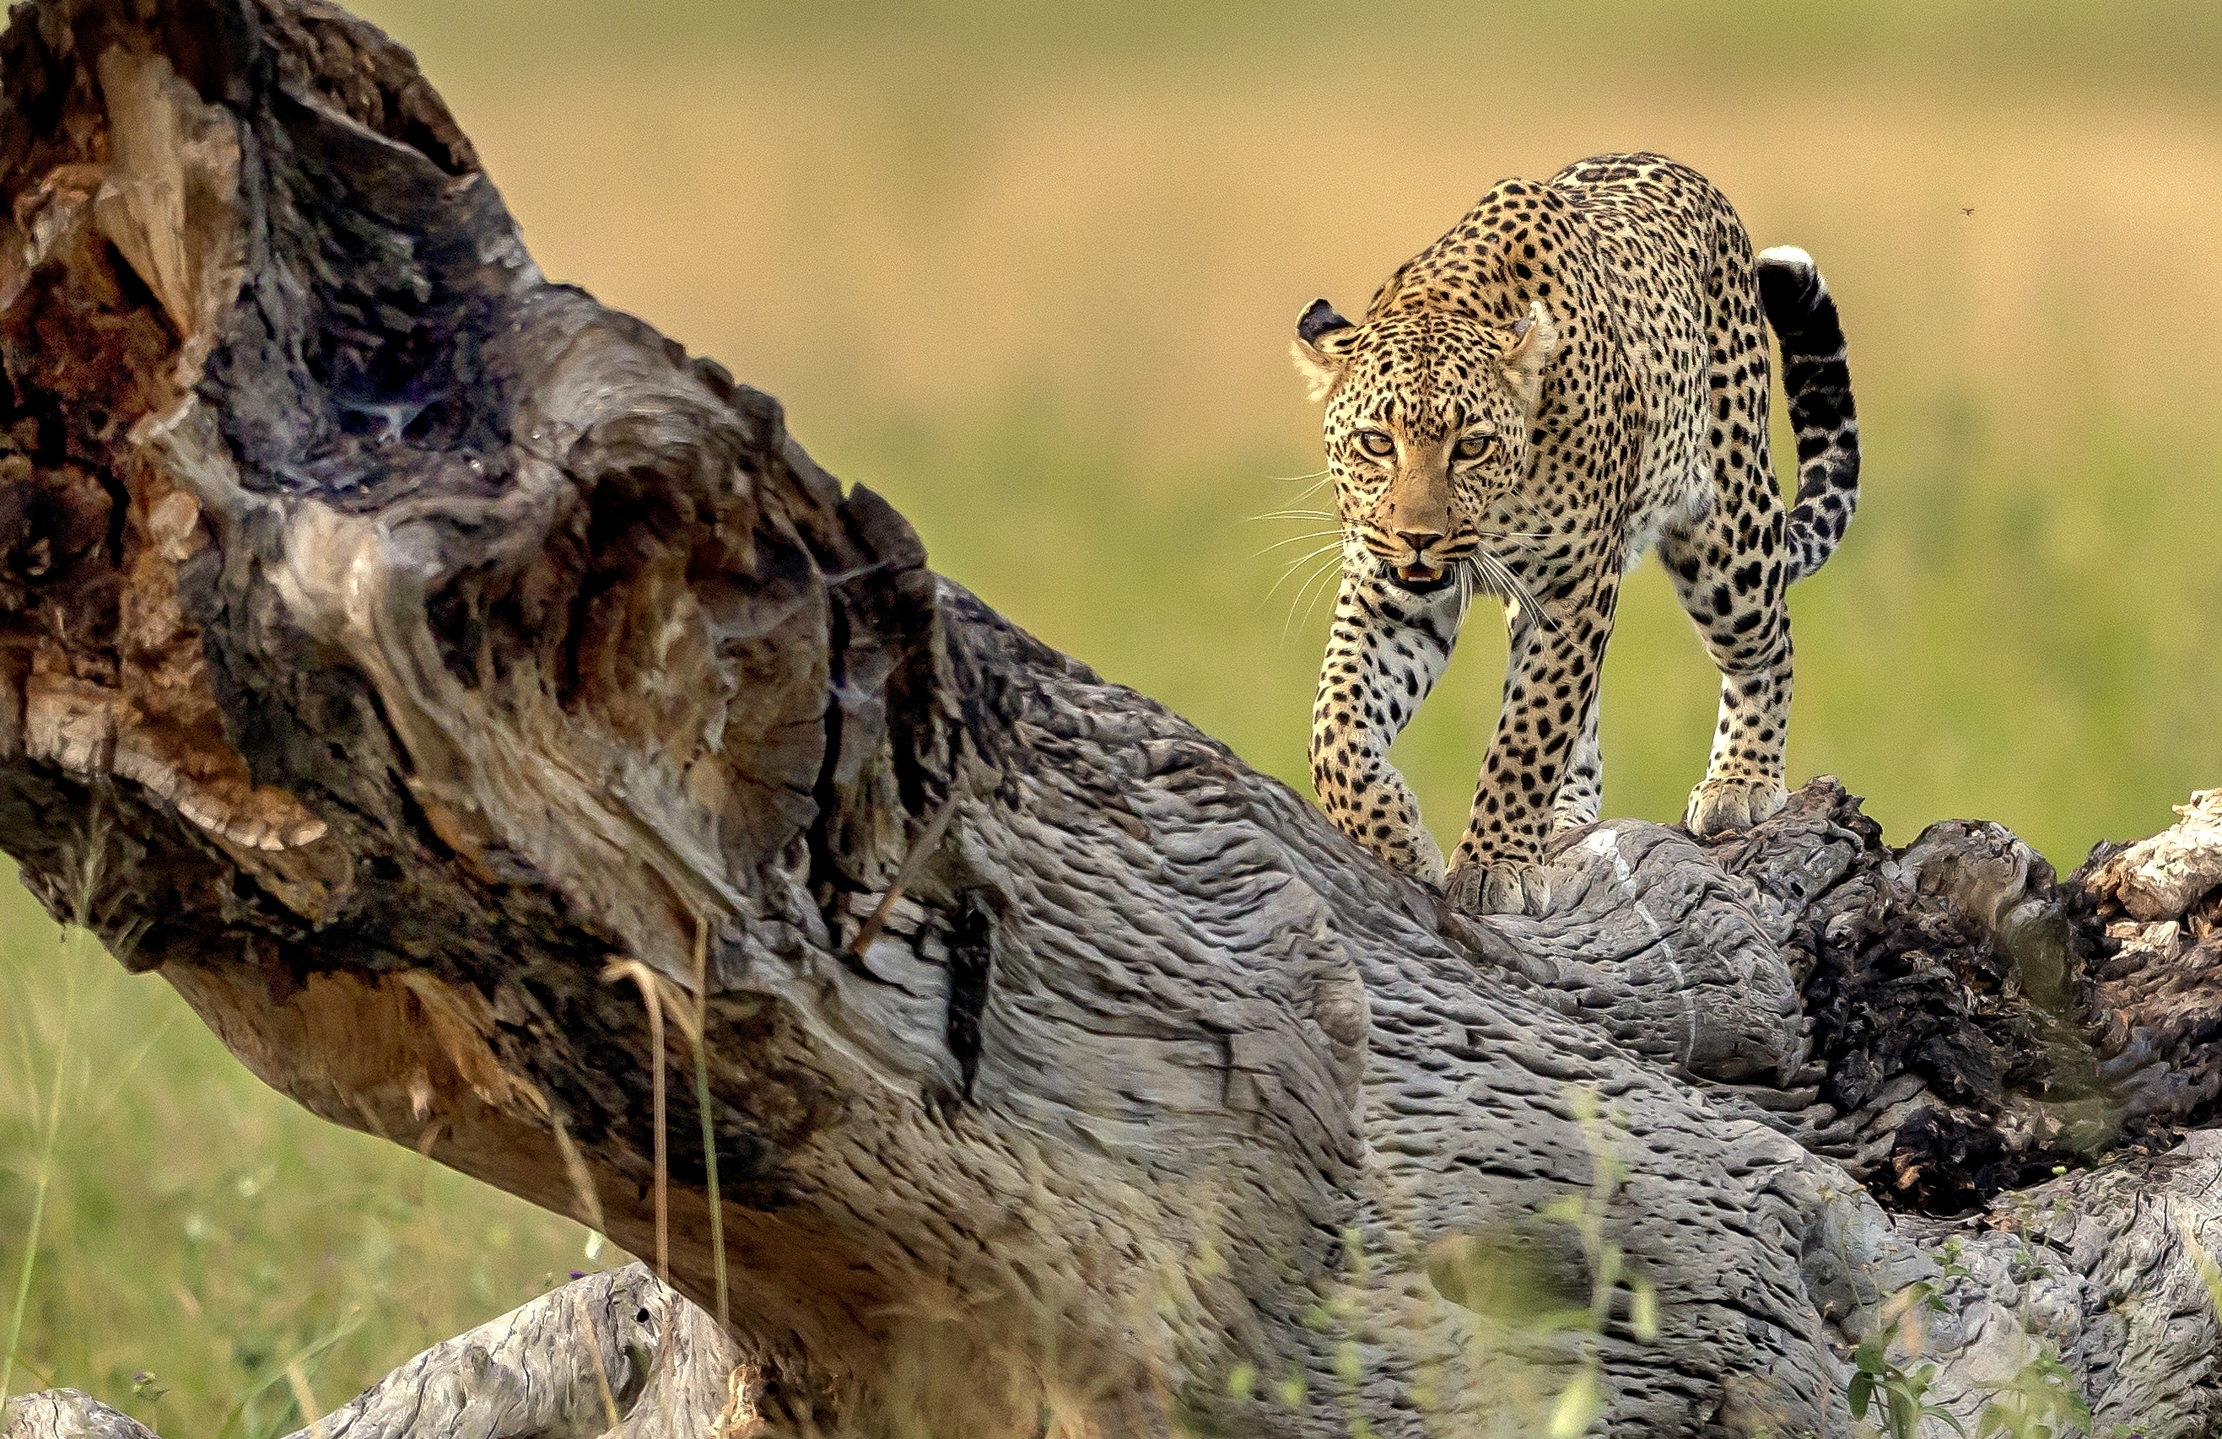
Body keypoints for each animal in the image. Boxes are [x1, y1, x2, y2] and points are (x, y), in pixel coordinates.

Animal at [1290, 152, 1859, 916]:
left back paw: (1741, 778)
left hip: (1728, 537)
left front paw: (1494, 863)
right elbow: (1335, 726)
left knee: (1768, 646)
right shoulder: (1388, 594)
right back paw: (1564, 818)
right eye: (1377, 443)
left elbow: (1528, 733)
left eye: (1471, 447)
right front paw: (1397, 839)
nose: (1418, 537)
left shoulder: (1575, 589)